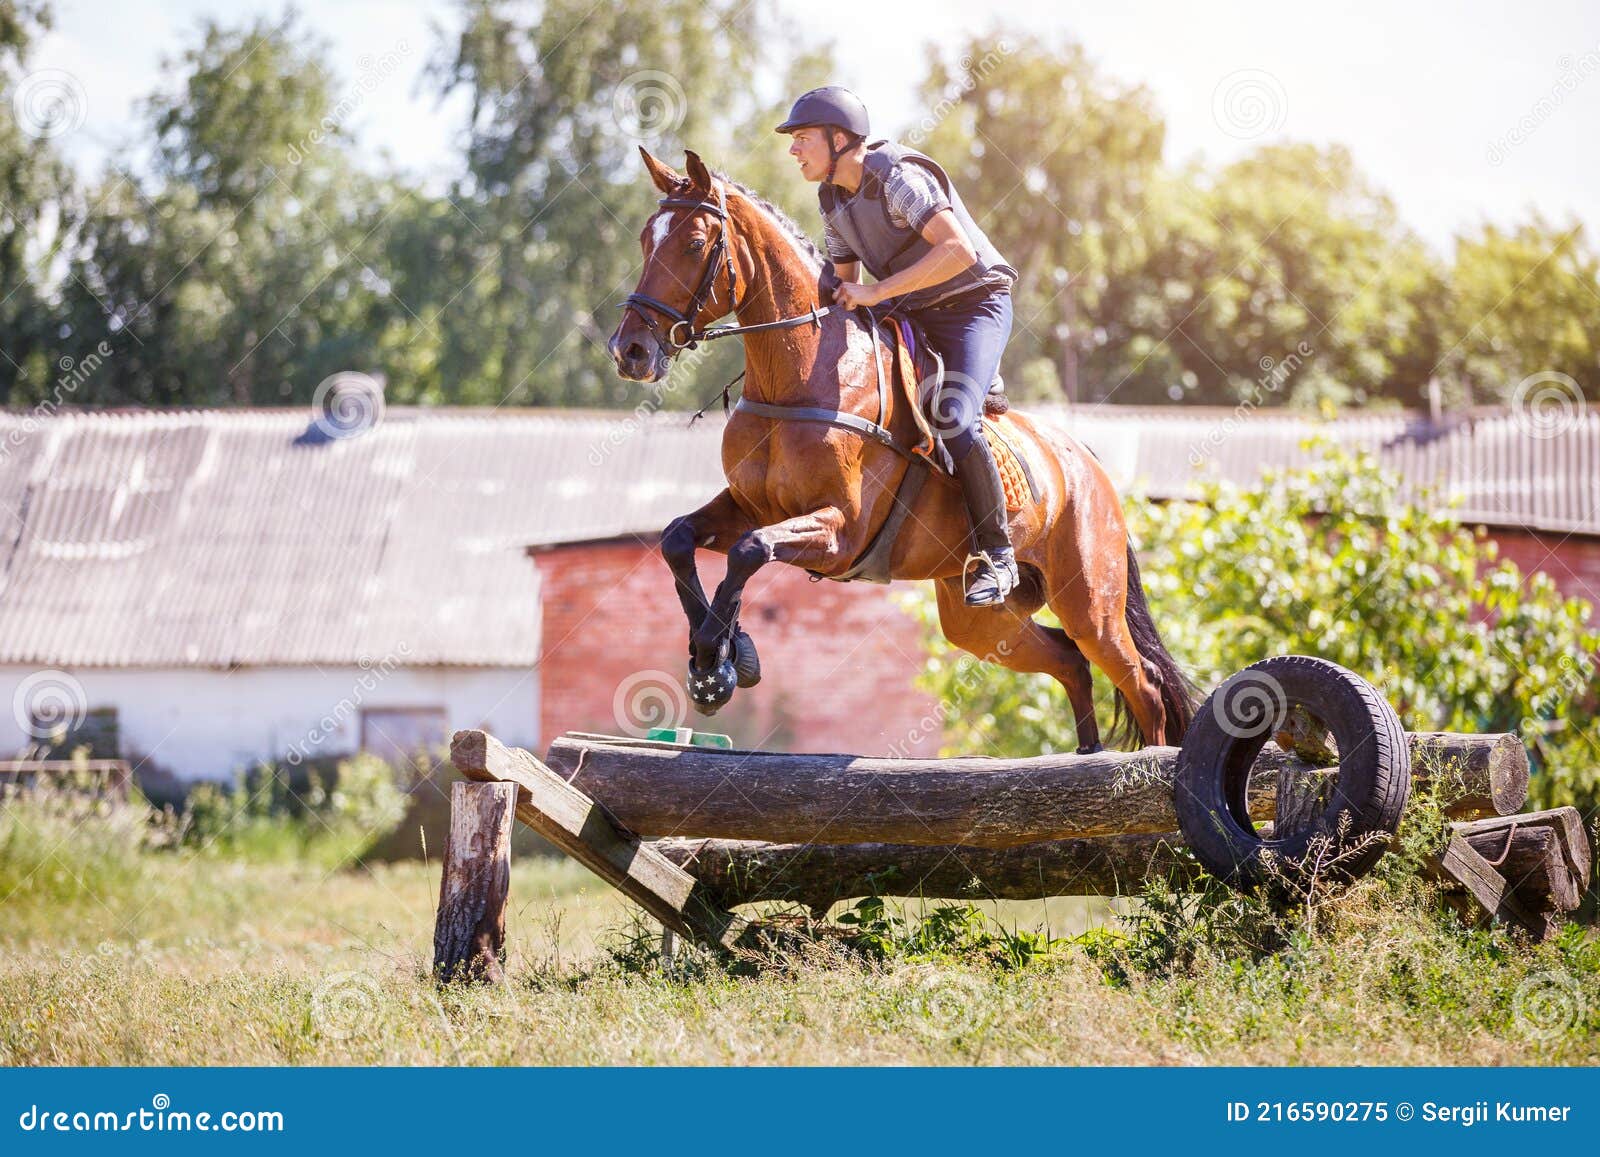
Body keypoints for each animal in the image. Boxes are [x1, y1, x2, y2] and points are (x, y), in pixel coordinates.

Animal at [604, 147, 1196, 752]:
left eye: (695, 244)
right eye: (646, 241)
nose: (630, 350)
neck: (798, 377)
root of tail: (1090, 466)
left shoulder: (840, 531)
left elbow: (749, 551)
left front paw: (721, 660)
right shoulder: (751, 507)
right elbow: (680, 540)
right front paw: (715, 656)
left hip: (1090, 601)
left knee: (1142, 683)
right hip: (979, 620)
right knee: (1070, 661)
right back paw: (1084, 754)